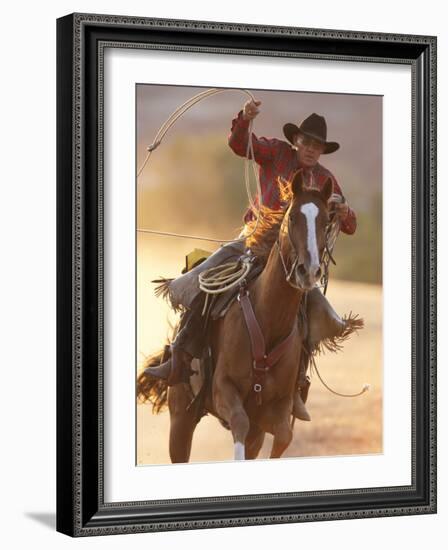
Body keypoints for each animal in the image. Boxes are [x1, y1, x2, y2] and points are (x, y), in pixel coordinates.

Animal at [138, 170, 334, 464]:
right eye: (292, 217)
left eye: (326, 222)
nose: (308, 271)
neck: (268, 322)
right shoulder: (223, 390)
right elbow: (239, 421)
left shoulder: (277, 409)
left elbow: (284, 436)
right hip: (181, 416)